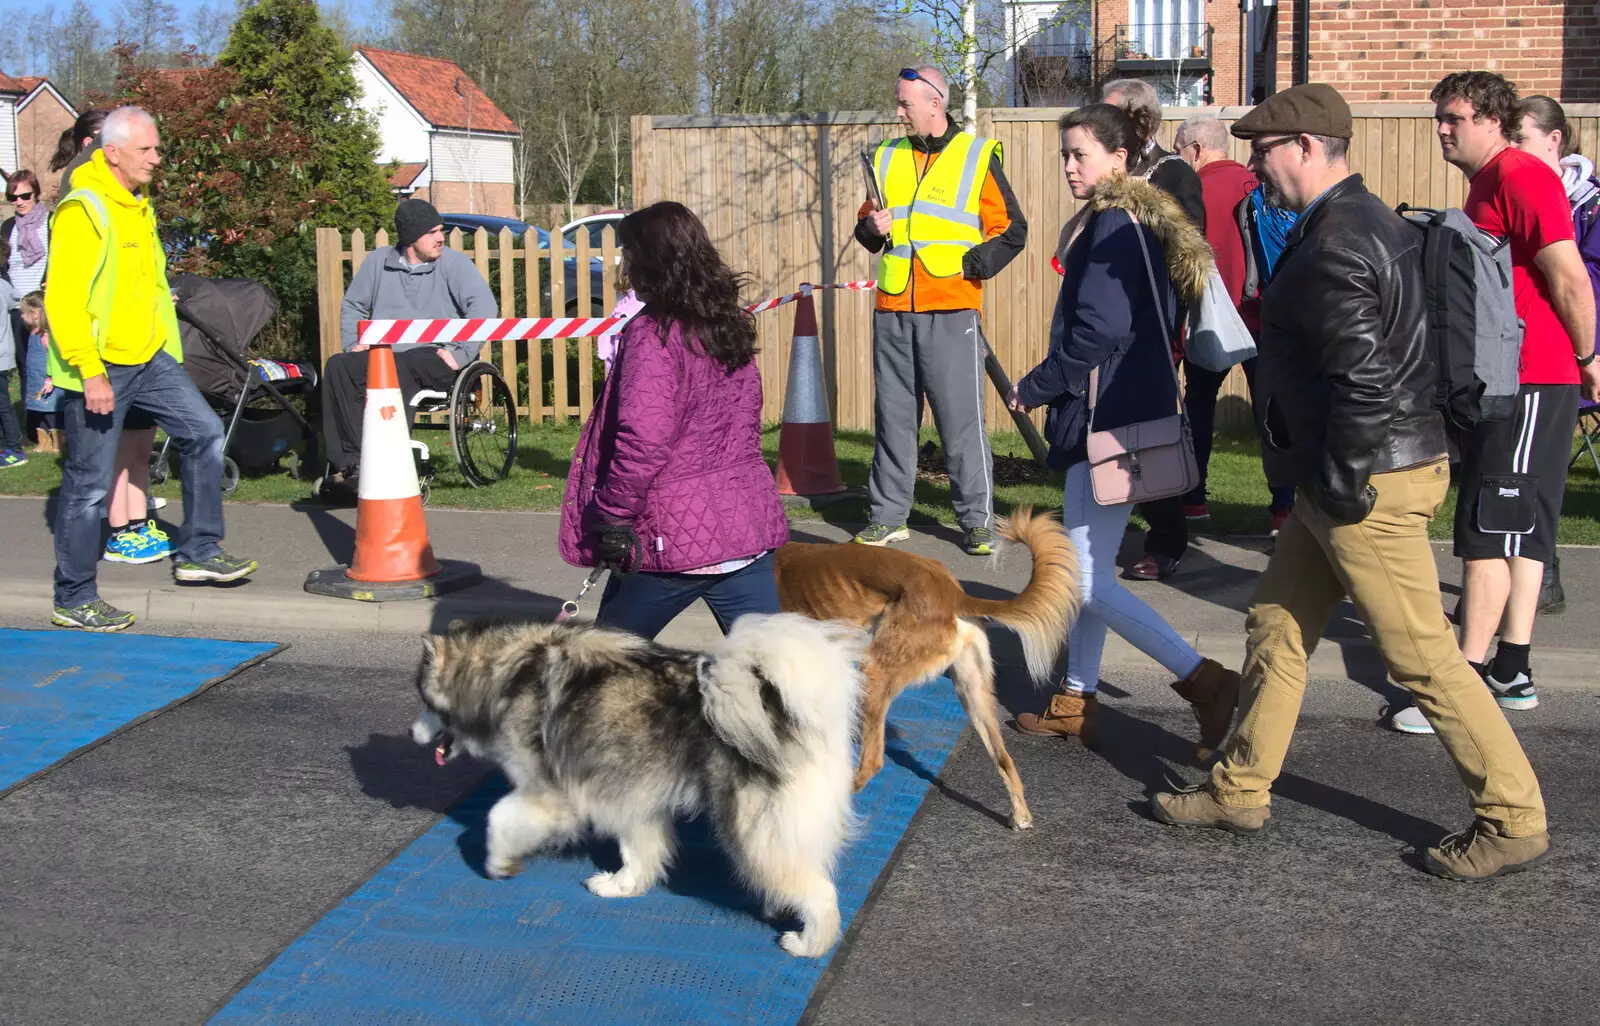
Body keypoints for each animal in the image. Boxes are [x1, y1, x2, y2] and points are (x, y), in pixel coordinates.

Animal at [406, 611, 870, 953]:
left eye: (425, 702)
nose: (412, 734)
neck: (505, 674)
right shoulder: (632, 795)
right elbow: (639, 850)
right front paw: (623, 886)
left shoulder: (552, 793)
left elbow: (498, 817)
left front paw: (498, 862)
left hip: (753, 829)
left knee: (821, 892)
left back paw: (810, 943)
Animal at [771, 508, 1081, 825]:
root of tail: (952, 592)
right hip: (972, 690)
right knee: (1003, 758)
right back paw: (1019, 814)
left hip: (875, 671)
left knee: (872, 761)